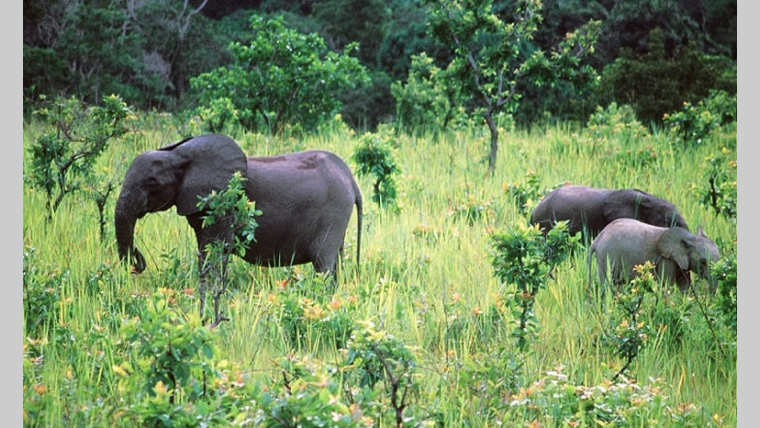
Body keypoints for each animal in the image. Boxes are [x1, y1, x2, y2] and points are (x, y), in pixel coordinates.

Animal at [588, 217, 720, 290]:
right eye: (703, 262)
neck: (689, 238)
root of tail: (597, 239)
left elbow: (684, 286)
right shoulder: (666, 259)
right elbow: (667, 285)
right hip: (605, 256)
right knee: (607, 285)